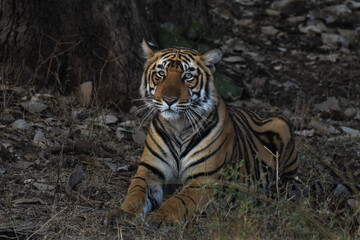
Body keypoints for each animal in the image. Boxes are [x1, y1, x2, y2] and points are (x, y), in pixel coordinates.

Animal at [114, 40, 300, 226]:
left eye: (188, 76)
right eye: (161, 73)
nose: (169, 100)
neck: (178, 126)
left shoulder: (203, 180)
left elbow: (178, 201)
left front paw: (160, 217)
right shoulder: (150, 170)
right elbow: (136, 192)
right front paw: (124, 213)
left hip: (281, 125)